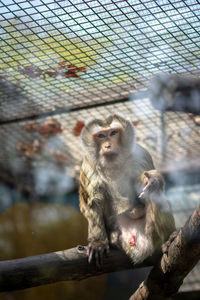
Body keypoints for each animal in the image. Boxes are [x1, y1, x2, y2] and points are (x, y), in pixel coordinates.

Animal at [79, 113, 176, 266]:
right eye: (101, 135)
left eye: (113, 133)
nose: (108, 145)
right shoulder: (89, 162)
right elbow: (93, 202)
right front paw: (97, 243)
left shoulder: (141, 154)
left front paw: (153, 179)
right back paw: (113, 237)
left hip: (149, 234)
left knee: (155, 193)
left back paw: (167, 240)